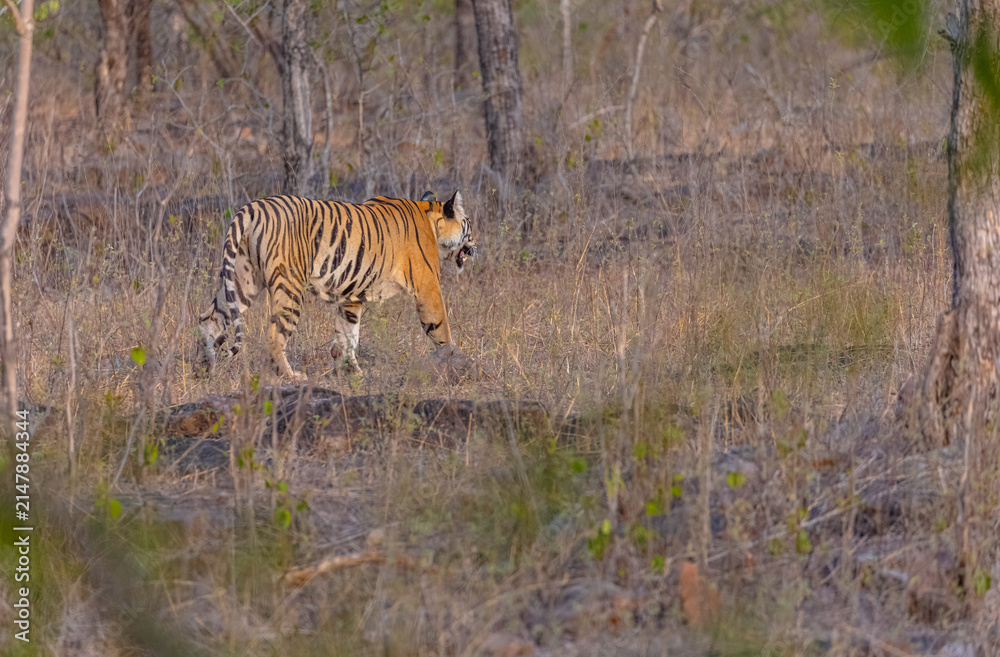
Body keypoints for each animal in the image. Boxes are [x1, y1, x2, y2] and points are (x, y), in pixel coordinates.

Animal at [198, 190, 477, 381]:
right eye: (469, 224)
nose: (477, 244)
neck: (431, 220)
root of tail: (252, 207)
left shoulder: (351, 295)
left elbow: (347, 334)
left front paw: (350, 370)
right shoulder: (427, 286)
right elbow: (440, 326)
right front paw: (453, 359)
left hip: (242, 281)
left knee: (208, 318)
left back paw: (206, 367)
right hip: (288, 286)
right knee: (274, 335)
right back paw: (290, 376)